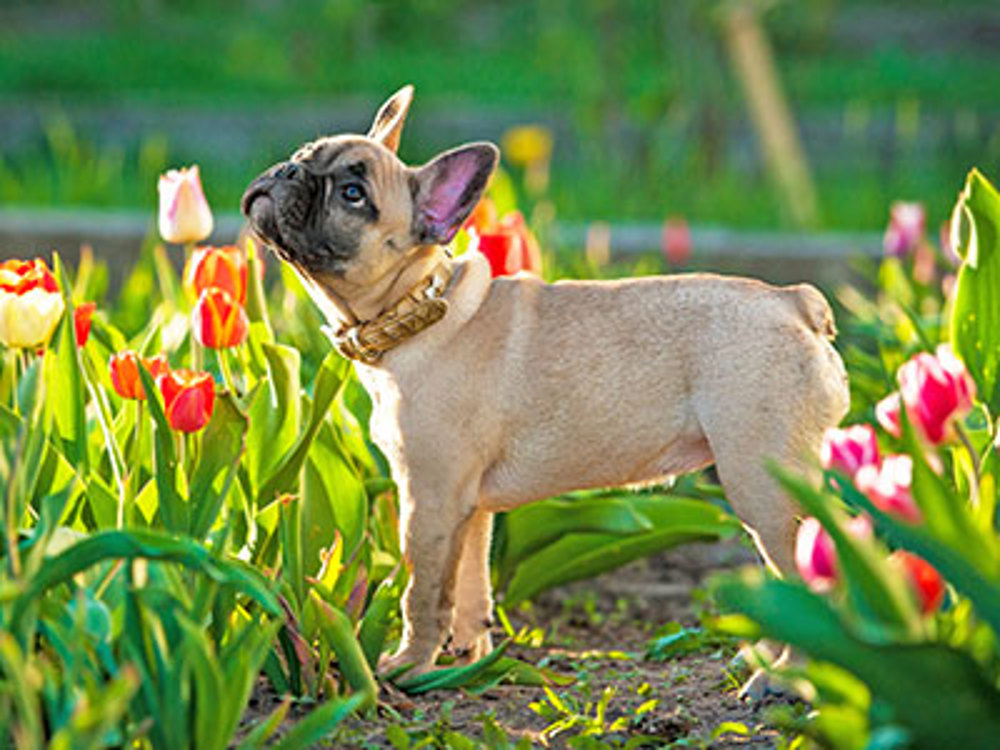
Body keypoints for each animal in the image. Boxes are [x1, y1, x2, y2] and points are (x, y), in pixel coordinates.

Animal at [238, 86, 848, 680]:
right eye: (303, 155)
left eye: (353, 194)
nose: (287, 171)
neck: (417, 307)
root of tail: (795, 301)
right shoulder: (469, 508)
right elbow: (470, 590)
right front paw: (468, 661)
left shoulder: (430, 498)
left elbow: (423, 591)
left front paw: (409, 667)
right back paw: (765, 659)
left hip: (762, 483)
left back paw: (785, 677)